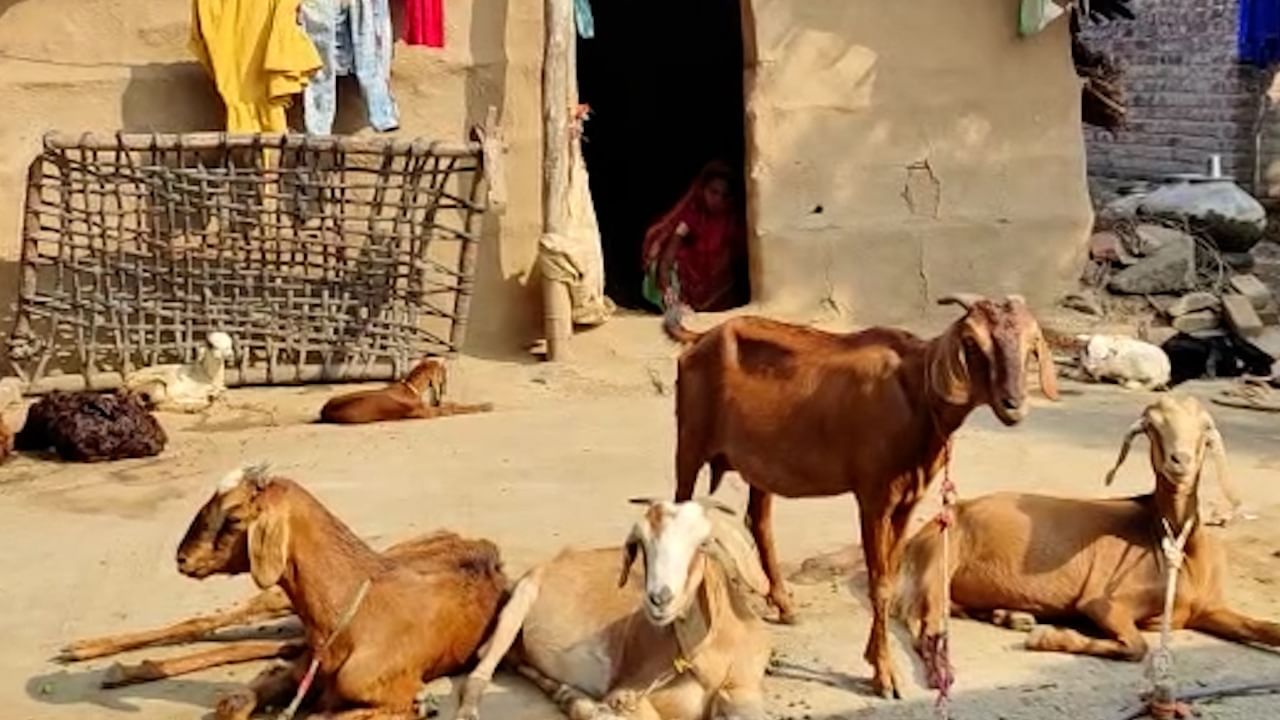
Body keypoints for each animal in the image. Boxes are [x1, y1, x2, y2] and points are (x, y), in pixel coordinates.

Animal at [320, 356, 494, 422]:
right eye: (443, 371)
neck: (411, 387)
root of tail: (323, 411)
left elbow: (452, 404)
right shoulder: (429, 413)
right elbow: (453, 408)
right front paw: (484, 406)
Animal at [665, 292, 1054, 696]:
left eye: (1031, 344)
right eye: (973, 343)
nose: (1014, 404)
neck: (915, 391)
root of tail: (700, 339)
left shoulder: (907, 500)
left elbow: (890, 578)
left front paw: (875, 660)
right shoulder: (874, 497)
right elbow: (879, 584)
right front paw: (884, 674)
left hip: (760, 465)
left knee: (758, 520)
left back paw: (785, 605)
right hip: (689, 441)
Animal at [896, 392, 1274, 681]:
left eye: (1204, 429)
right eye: (1152, 428)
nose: (1179, 461)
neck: (1176, 546)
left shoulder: (1209, 609)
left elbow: (1266, 628)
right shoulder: (1103, 602)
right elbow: (1137, 647)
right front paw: (1049, 639)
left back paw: (1013, 616)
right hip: (938, 564)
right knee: (923, 625)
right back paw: (944, 671)